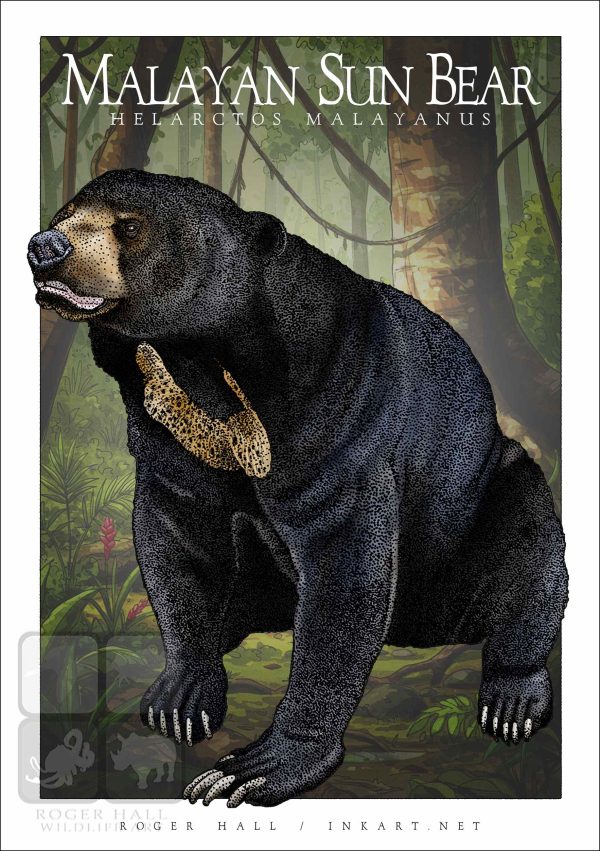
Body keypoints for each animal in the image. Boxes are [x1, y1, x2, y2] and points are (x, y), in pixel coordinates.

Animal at [29, 169, 568, 808]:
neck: (201, 362)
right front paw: (181, 697)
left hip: (482, 502)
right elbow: (176, 537)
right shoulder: (168, 435)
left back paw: (512, 696)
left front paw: (256, 767)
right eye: (64, 213)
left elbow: (344, 569)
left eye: (129, 227)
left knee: (531, 541)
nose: (44, 247)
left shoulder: (336, 413)